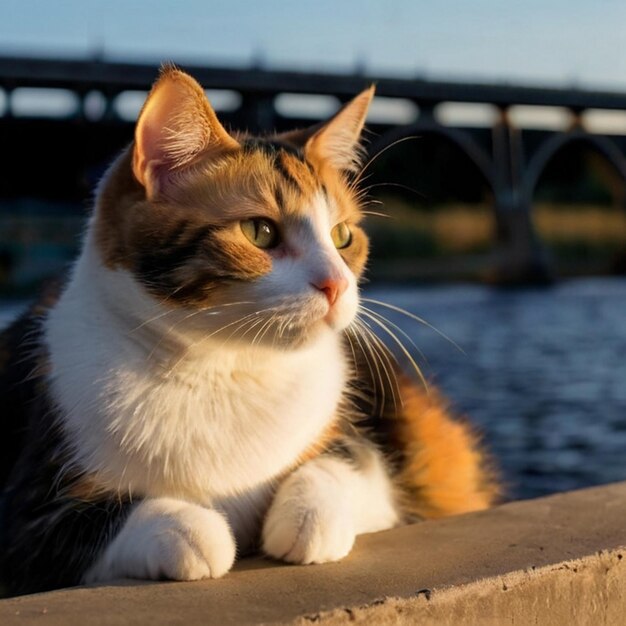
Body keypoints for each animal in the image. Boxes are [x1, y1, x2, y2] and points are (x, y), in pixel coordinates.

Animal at [0, 66, 498, 592]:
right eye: (260, 232)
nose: (337, 284)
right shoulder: (27, 521)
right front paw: (191, 531)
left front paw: (306, 519)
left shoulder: (373, 466)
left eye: (342, 236)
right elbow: (128, 523)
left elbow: (346, 470)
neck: (225, 368)